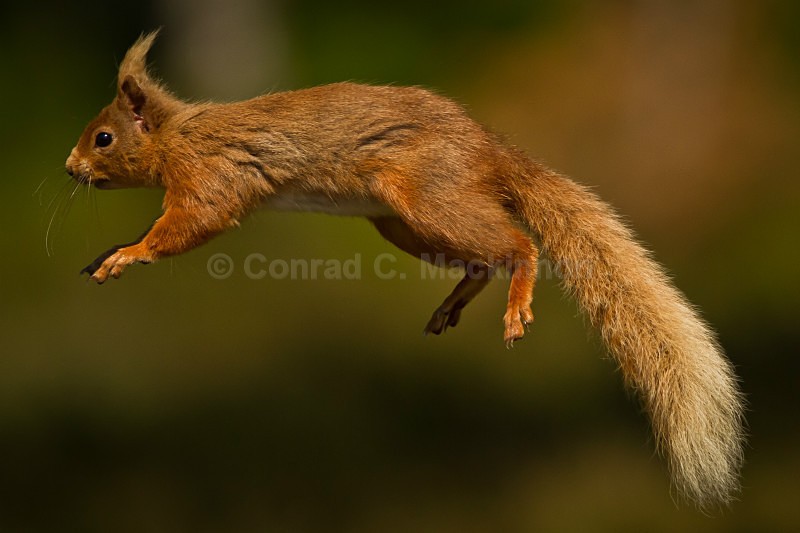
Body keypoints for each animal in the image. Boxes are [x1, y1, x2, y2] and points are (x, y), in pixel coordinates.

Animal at [66, 31, 743, 509]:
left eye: (103, 139)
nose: (70, 168)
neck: (176, 133)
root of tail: (490, 150)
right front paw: (109, 252)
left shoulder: (210, 178)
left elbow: (187, 225)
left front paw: (129, 255)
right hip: (402, 224)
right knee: (483, 261)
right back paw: (455, 302)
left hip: (428, 200)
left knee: (518, 245)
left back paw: (517, 301)